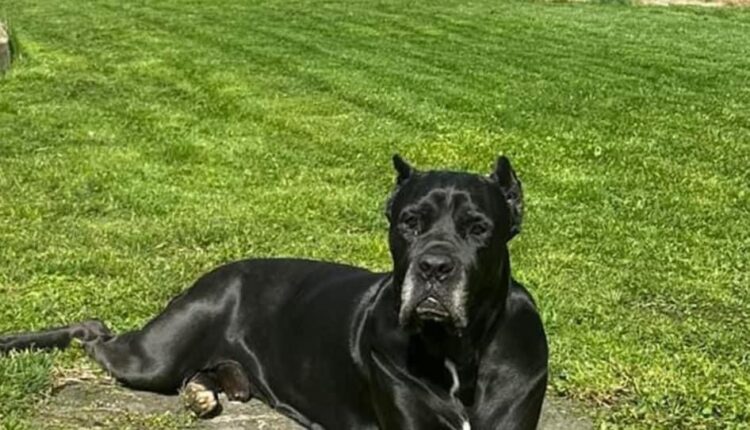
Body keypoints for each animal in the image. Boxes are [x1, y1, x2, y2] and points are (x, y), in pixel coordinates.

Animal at [0, 155, 548, 430]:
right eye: (409, 222)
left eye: (478, 228)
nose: (434, 266)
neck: (458, 351)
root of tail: (219, 271)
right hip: (153, 357)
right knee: (94, 332)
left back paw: (202, 393)